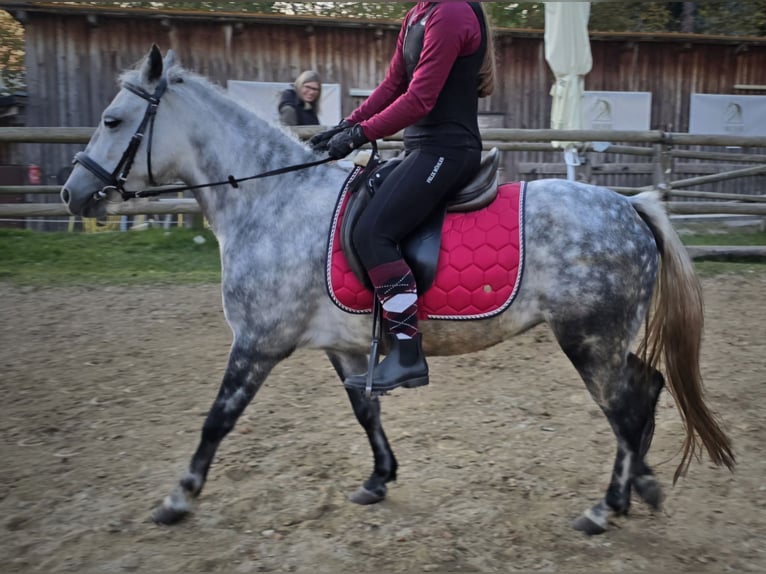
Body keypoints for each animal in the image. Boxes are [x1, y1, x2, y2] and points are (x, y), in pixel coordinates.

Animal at [61, 47, 736, 536]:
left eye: (112, 121)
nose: (74, 194)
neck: (271, 200)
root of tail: (631, 206)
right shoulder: (345, 345)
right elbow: (366, 410)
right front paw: (379, 478)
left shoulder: (257, 342)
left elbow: (217, 420)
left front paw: (179, 498)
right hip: (605, 341)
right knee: (646, 389)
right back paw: (636, 488)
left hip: (589, 340)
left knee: (625, 408)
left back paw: (606, 507)